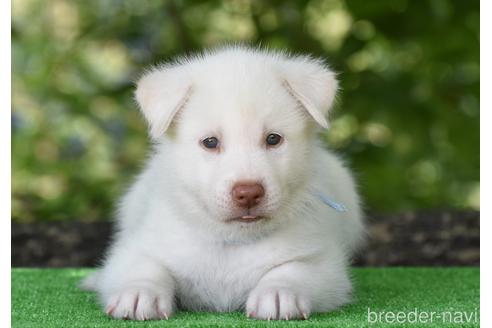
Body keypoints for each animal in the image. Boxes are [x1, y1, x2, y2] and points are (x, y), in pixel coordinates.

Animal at [81, 46, 366, 320]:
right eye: (210, 142)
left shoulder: (324, 264)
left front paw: (279, 294)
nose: (248, 193)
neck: (230, 241)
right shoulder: (138, 247)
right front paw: (139, 293)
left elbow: (293, 270)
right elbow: (145, 267)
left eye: (273, 139)